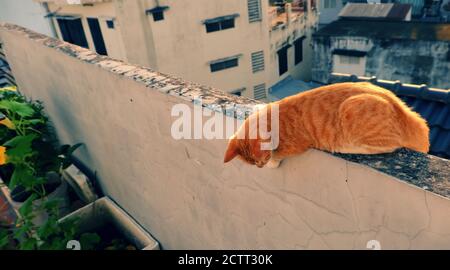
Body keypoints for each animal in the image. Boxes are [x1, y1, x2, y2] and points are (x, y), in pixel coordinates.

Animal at [223, 81, 430, 168]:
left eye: (261, 160)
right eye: (252, 164)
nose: (259, 167)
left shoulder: (294, 146)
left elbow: (278, 155)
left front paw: (272, 164)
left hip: (352, 110)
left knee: (388, 146)